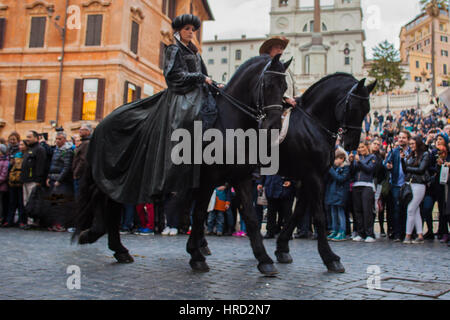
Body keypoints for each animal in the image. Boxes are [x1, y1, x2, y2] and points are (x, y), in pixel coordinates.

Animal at [74, 54, 290, 276]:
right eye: (267, 84)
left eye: (284, 87)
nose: (274, 126)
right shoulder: (207, 180)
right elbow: (200, 214)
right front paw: (196, 256)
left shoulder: (241, 179)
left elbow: (251, 218)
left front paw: (264, 260)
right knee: (108, 202)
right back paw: (104, 240)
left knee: (112, 205)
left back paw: (115, 247)